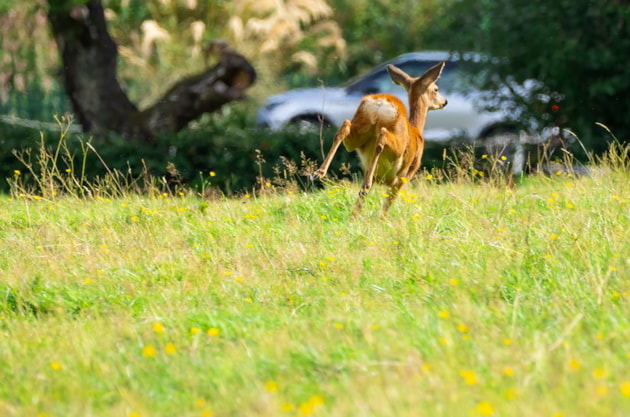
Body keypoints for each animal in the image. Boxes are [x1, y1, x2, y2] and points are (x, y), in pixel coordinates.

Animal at [312, 62, 450, 218]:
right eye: (436, 89)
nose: (445, 101)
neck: (417, 130)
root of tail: (381, 103)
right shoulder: (404, 177)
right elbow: (387, 205)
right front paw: (381, 220)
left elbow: (360, 204)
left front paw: (353, 218)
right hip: (397, 145)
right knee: (382, 136)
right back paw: (365, 183)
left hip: (360, 129)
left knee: (345, 126)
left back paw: (319, 172)